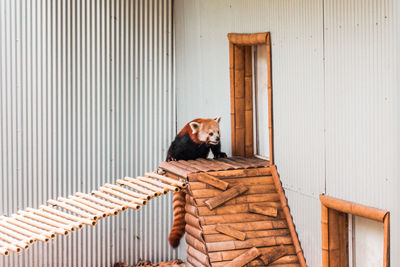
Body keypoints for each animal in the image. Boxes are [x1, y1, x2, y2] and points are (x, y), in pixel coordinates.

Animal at [166, 118, 227, 248]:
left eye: (218, 132)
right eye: (210, 133)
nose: (217, 138)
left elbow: (216, 148)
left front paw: (219, 153)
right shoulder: (185, 139)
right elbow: (175, 147)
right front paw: (171, 158)